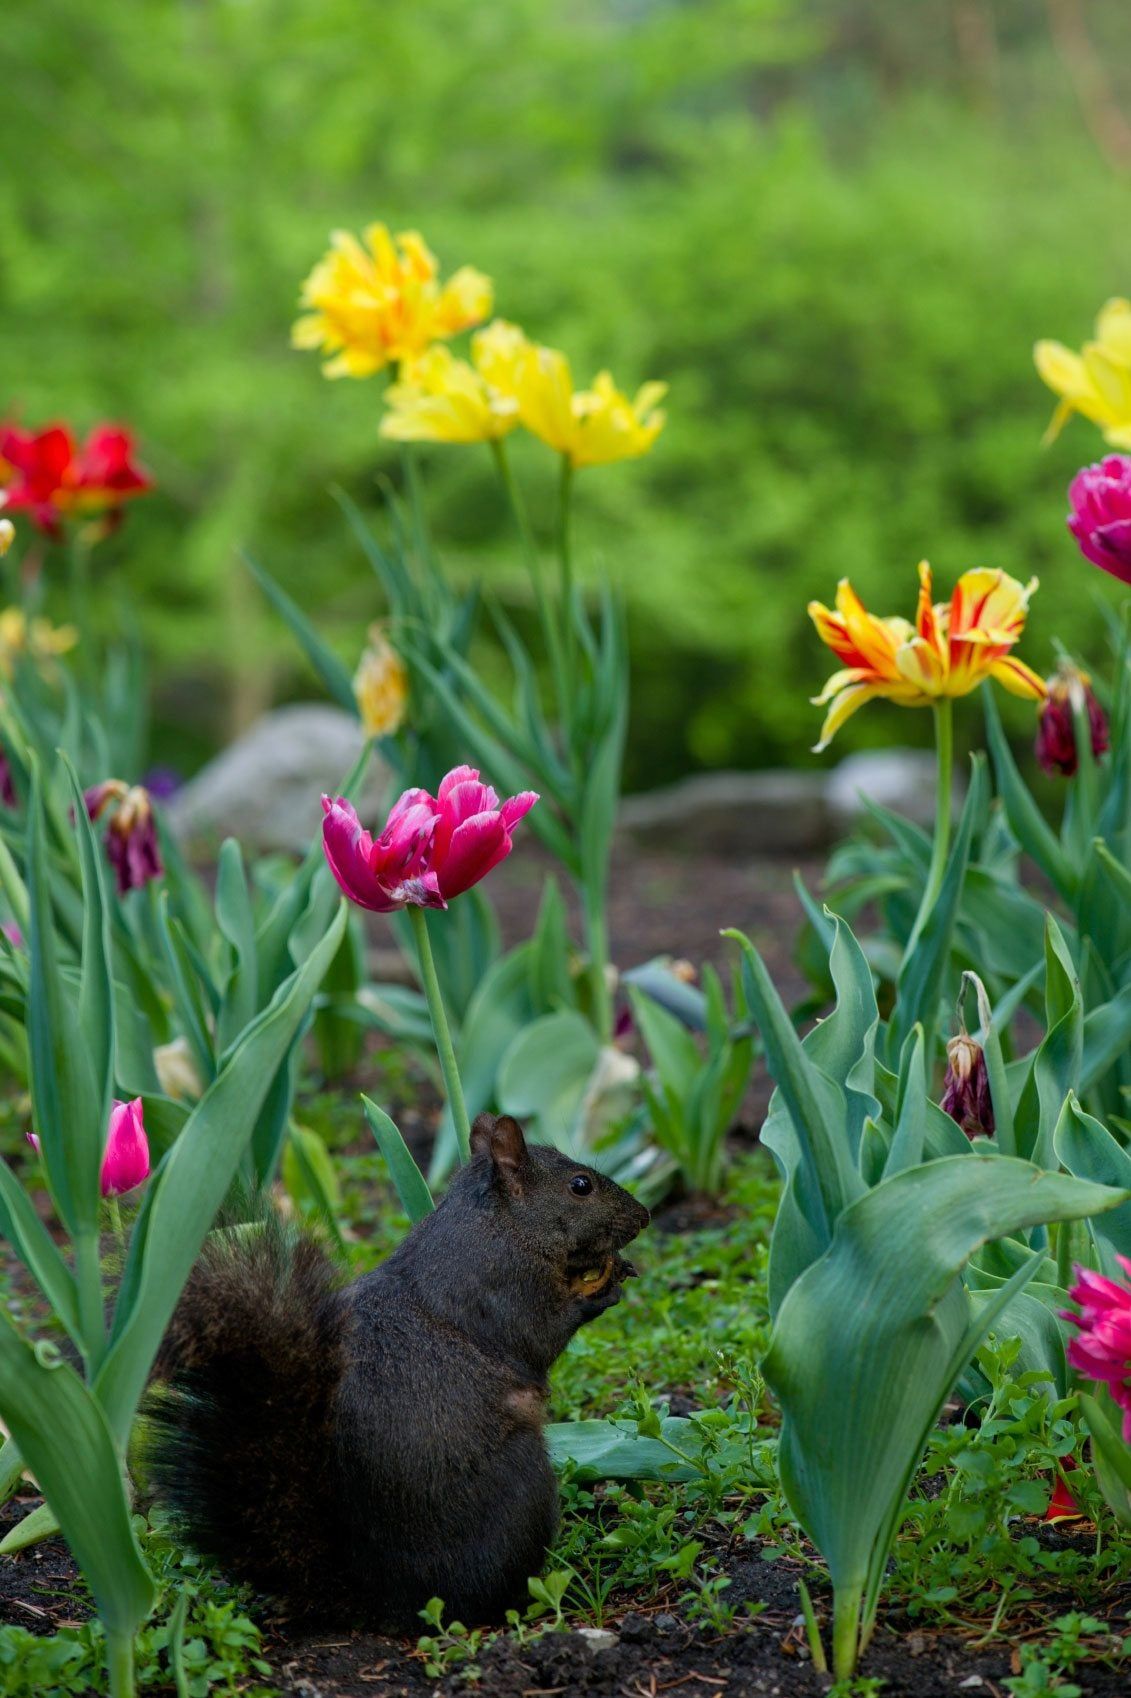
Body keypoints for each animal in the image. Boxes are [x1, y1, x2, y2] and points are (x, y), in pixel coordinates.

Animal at [145, 1113, 648, 1630]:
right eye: (580, 1185)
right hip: (522, 1488)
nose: (644, 1216)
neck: (502, 1225)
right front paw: (602, 1288)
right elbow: (542, 1332)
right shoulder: (504, 1288)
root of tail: (380, 1600)